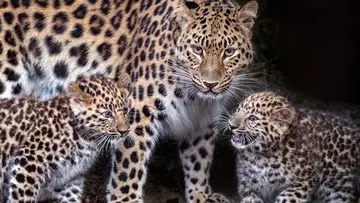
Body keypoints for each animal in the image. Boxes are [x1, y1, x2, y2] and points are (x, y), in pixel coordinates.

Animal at [0, 0, 258, 201]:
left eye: (229, 52)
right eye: (197, 49)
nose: (210, 84)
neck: (193, 93)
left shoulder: (202, 118)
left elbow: (199, 158)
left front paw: (201, 194)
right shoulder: (138, 109)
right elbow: (130, 165)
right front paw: (126, 199)